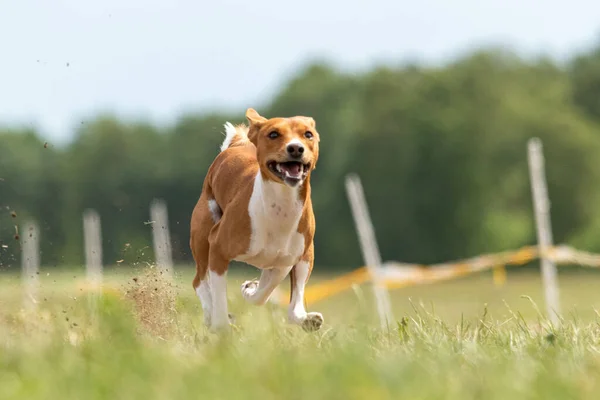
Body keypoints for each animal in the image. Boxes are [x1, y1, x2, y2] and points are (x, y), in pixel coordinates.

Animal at [191, 108, 324, 332]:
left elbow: (266, 293)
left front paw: (249, 288)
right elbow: (219, 297)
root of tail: (237, 145)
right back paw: (210, 316)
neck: (280, 208)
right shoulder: (217, 247)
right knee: (199, 280)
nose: (295, 148)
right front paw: (221, 325)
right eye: (273, 134)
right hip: (202, 234)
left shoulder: (291, 259)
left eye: (308, 134)